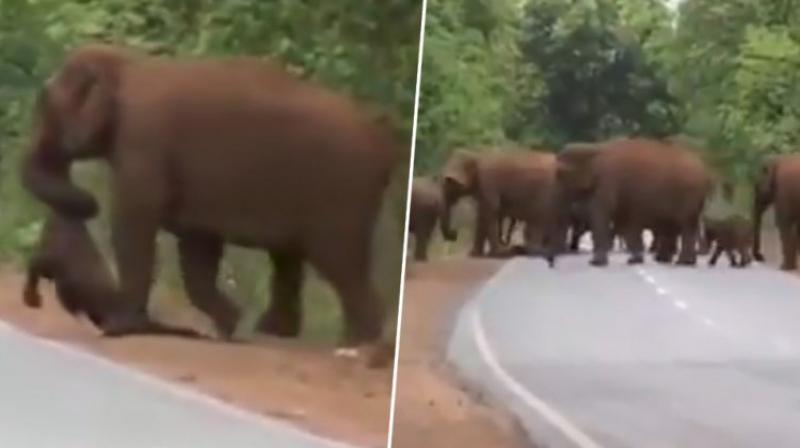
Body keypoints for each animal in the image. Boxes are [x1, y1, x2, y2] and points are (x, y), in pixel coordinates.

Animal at [19, 44, 396, 346]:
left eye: (45, 102)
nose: (86, 203)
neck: (126, 63)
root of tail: (384, 143)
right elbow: (197, 247)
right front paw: (230, 326)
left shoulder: (143, 144)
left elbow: (134, 223)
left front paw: (120, 329)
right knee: (289, 258)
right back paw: (274, 332)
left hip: (342, 197)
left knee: (339, 262)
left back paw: (356, 347)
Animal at [556, 138, 712, 268]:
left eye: (560, 174)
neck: (595, 148)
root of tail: (705, 171)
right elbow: (625, 223)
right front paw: (634, 260)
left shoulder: (608, 182)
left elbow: (602, 218)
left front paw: (596, 263)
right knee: (680, 225)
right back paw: (678, 261)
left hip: (689, 194)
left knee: (685, 225)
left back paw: (682, 262)